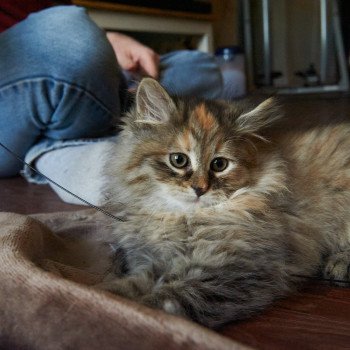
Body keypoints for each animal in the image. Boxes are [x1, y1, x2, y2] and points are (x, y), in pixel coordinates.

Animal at [98, 78, 350, 330]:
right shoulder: (151, 260)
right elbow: (130, 287)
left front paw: (134, 312)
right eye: (178, 160)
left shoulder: (235, 267)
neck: (183, 218)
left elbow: (172, 298)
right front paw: (108, 297)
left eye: (219, 164)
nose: (200, 189)